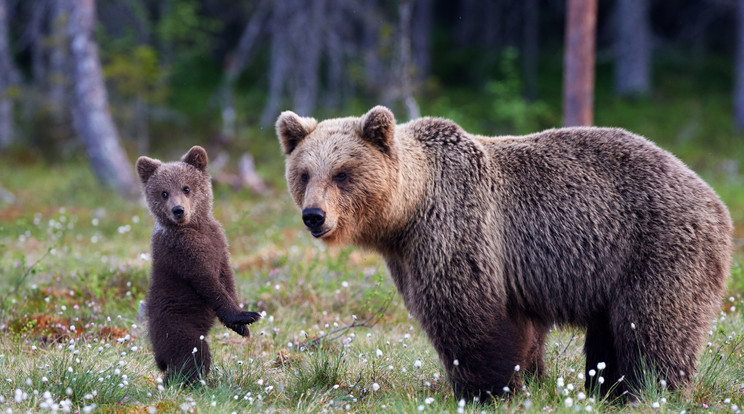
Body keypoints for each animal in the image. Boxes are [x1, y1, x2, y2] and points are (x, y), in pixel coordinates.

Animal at [136, 146, 262, 384]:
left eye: (186, 188)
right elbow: (207, 282)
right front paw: (246, 316)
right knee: (193, 354)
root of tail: (157, 353)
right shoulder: (182, 253)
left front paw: (242, 327)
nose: (178, 210)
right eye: (164, 192)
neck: (193, 228)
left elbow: (226, 277)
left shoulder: (218, 243)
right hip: (176, 325)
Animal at [274, 106, 732, 402]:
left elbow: (467, 315)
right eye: (304, 174)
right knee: (611, 334)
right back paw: (609, 390)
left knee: (651, 326)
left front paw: (485, 390)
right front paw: (528, 379)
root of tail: (715, 199)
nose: (314, 216)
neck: (406, 214)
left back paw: (650, 390)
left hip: (656, 248)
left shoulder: (457, 230)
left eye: (342, 173)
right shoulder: (411, 254)